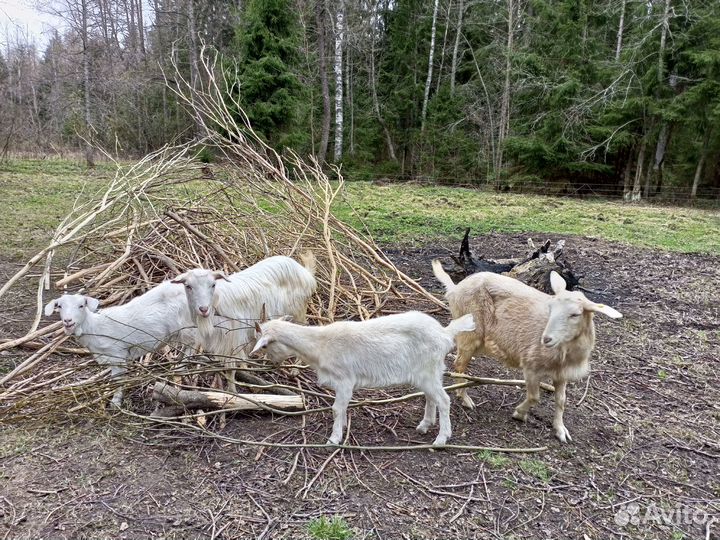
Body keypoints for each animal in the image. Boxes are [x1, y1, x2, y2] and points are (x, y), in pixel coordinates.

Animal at [45, 284, 197, 408]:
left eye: (81, 306)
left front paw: (116, 402)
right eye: (59, 306)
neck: (95, 328)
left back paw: (181, 367)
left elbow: (117, 379)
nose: (68, 321)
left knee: (192, 344)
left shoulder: (116, 354)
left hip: (187, 324)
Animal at [172, 253, 318, 392]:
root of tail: (305, 273)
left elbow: (230, 369)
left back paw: (295, 369)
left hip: (298, 310)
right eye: (188, 286)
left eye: (213, 285)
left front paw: (233, 393)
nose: (203, 309)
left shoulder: (231, 339)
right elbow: (185, 353)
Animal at [250, 312, 476, 448]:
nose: (271, 363)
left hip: (428, 370)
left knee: (444, 400)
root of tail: (444, 333)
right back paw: (424, 426)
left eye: (265, 345)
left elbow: (336, 408)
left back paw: (441, 439)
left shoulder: (344, 380)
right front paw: (341, 429)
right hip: (428, 372)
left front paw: (333, 439)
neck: (320, 344)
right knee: (431, 397)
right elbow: (340, 408)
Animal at [430, 260, 620, 442]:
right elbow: (534, 396)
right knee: (459, 364)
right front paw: (519, 414)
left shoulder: (562, 373)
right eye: (550, 308)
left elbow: (561, 400)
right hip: (470, 333)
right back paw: (464, 397)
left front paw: (560, 430)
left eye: (575, 314)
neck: (565, 351)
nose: (546, 339)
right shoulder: (531, 366)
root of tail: (455, 288)